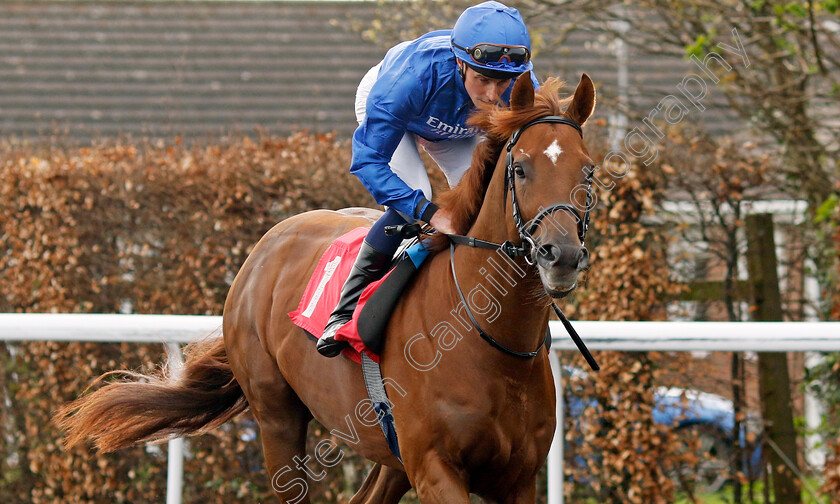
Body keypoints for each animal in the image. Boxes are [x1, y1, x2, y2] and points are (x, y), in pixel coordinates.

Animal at [55, 72, 596, 504]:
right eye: (520, 167)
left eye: (588, 171)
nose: (562, 256)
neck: (490, 342)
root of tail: (266, 245)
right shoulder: (435, 467)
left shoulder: (517, 477)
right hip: (277, 418)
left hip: (387, 453)